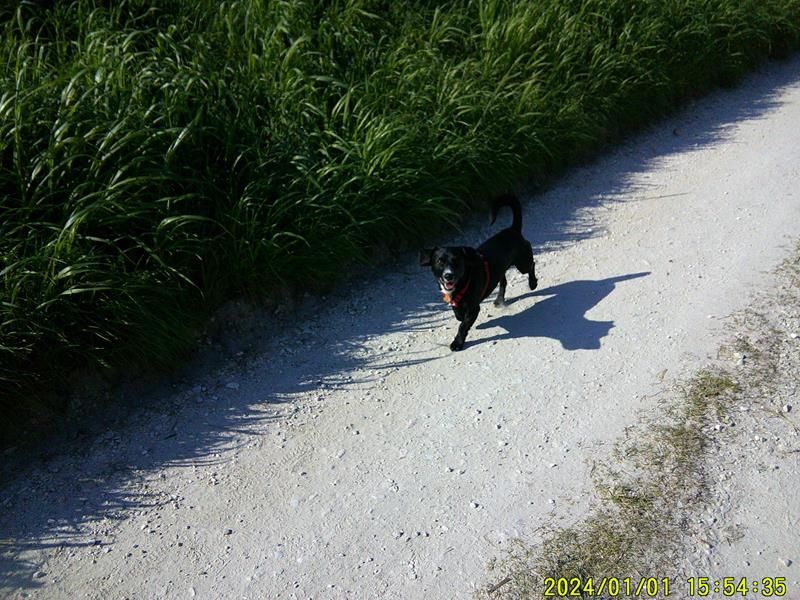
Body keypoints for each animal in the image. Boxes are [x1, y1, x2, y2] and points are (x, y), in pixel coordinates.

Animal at [420, 193, 538, 351]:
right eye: (440, 261)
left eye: (457, 261)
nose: (448, 275)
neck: (463, 282)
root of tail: (512, 230)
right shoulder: (457, 304)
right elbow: (458, 316)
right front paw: (459, 317)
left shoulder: (473, 308)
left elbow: (463, 326)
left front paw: (457, 343)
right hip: (501, 269)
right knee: (503, 281)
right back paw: (499, 299)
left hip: (522, 262)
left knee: (531, 264)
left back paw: (532, 283)